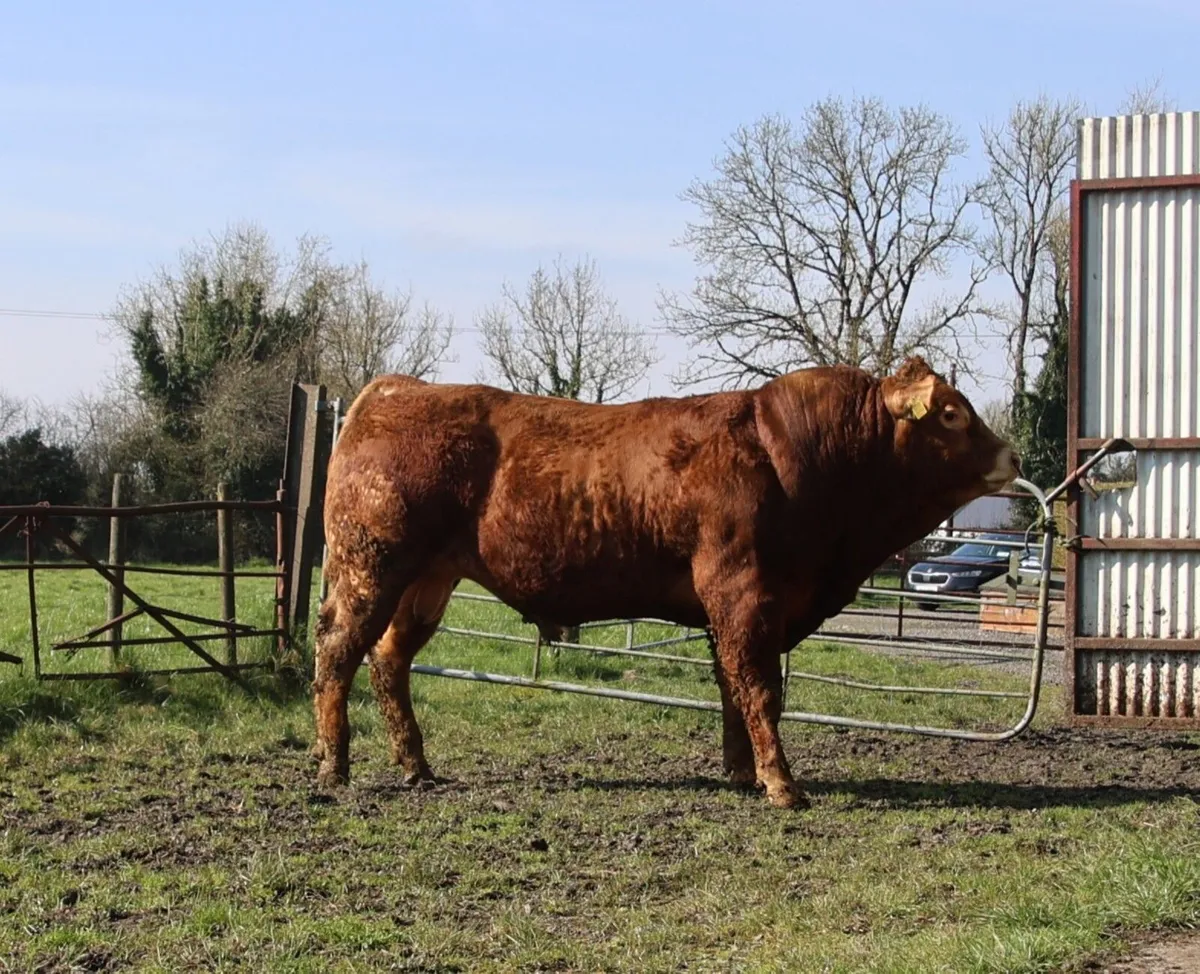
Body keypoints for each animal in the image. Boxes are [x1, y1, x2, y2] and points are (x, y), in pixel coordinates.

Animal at [311, 356, 1020, 809]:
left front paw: (742, 774)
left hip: (427, 580)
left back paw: (416, 766)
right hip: (370, 565)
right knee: (338, 652)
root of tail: (394, 390)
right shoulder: (743, 594)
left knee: (388, 659)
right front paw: (782, 784)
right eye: (950, 414)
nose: (1011, 455)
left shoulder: (733, 608)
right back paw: (333, 765)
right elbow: (760, 689)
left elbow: (733, 688)